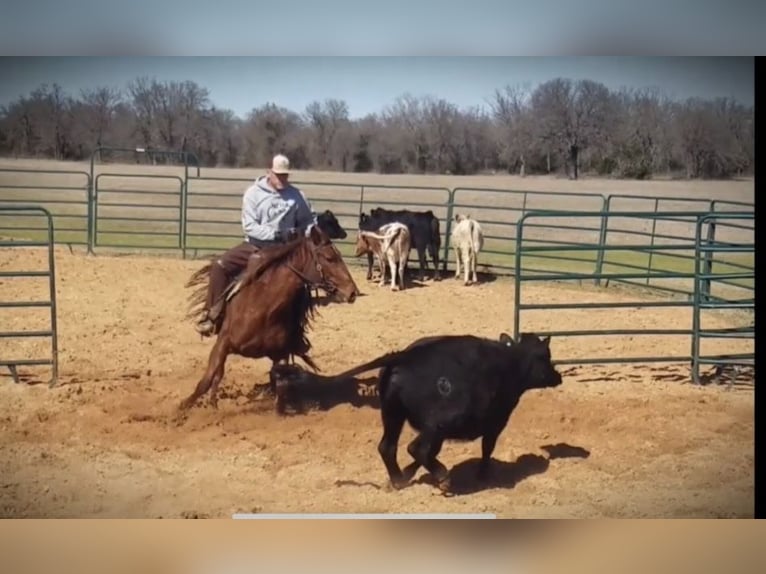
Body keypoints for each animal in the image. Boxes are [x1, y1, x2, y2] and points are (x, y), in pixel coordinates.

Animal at [179, 226, 360, 414]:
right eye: (329, 258)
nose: (352, 292)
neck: (264, 309)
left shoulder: (281, 355)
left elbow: (281, 387)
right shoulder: (223, 343)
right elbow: (206, 380)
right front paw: (181, 410)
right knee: (217, 374)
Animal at [282, 332, 564, 496]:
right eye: (546, 356)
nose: (558, 376)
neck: (511, 363)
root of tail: (405, 356)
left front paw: (409, 473)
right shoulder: (495, 423)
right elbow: (487, 448)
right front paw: (483, 475)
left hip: (394, 415)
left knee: (389, 447)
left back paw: (398, 479)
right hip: (440, 423)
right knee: (416, 448)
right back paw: (443, 479)